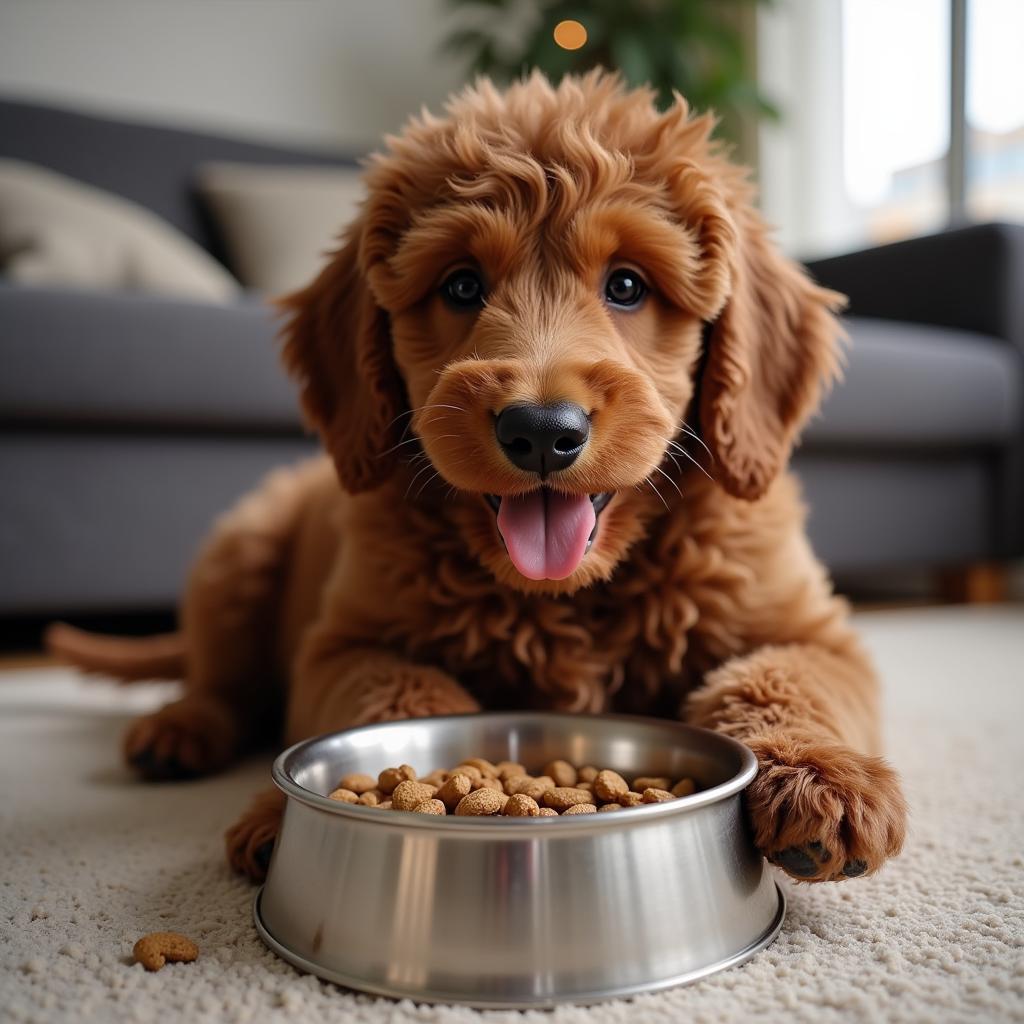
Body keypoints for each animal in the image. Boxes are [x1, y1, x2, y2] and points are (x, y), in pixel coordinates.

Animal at [51, 74, 909, 888]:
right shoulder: (345, 643)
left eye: (628, 285)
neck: (567, 595)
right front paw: (289, 809)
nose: (542, 431)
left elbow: (780, 679)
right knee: (220, 677)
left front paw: (821, 778)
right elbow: (397, 693)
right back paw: (179, 729)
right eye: (462, 286)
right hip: (239, 549)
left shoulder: (812, 631)